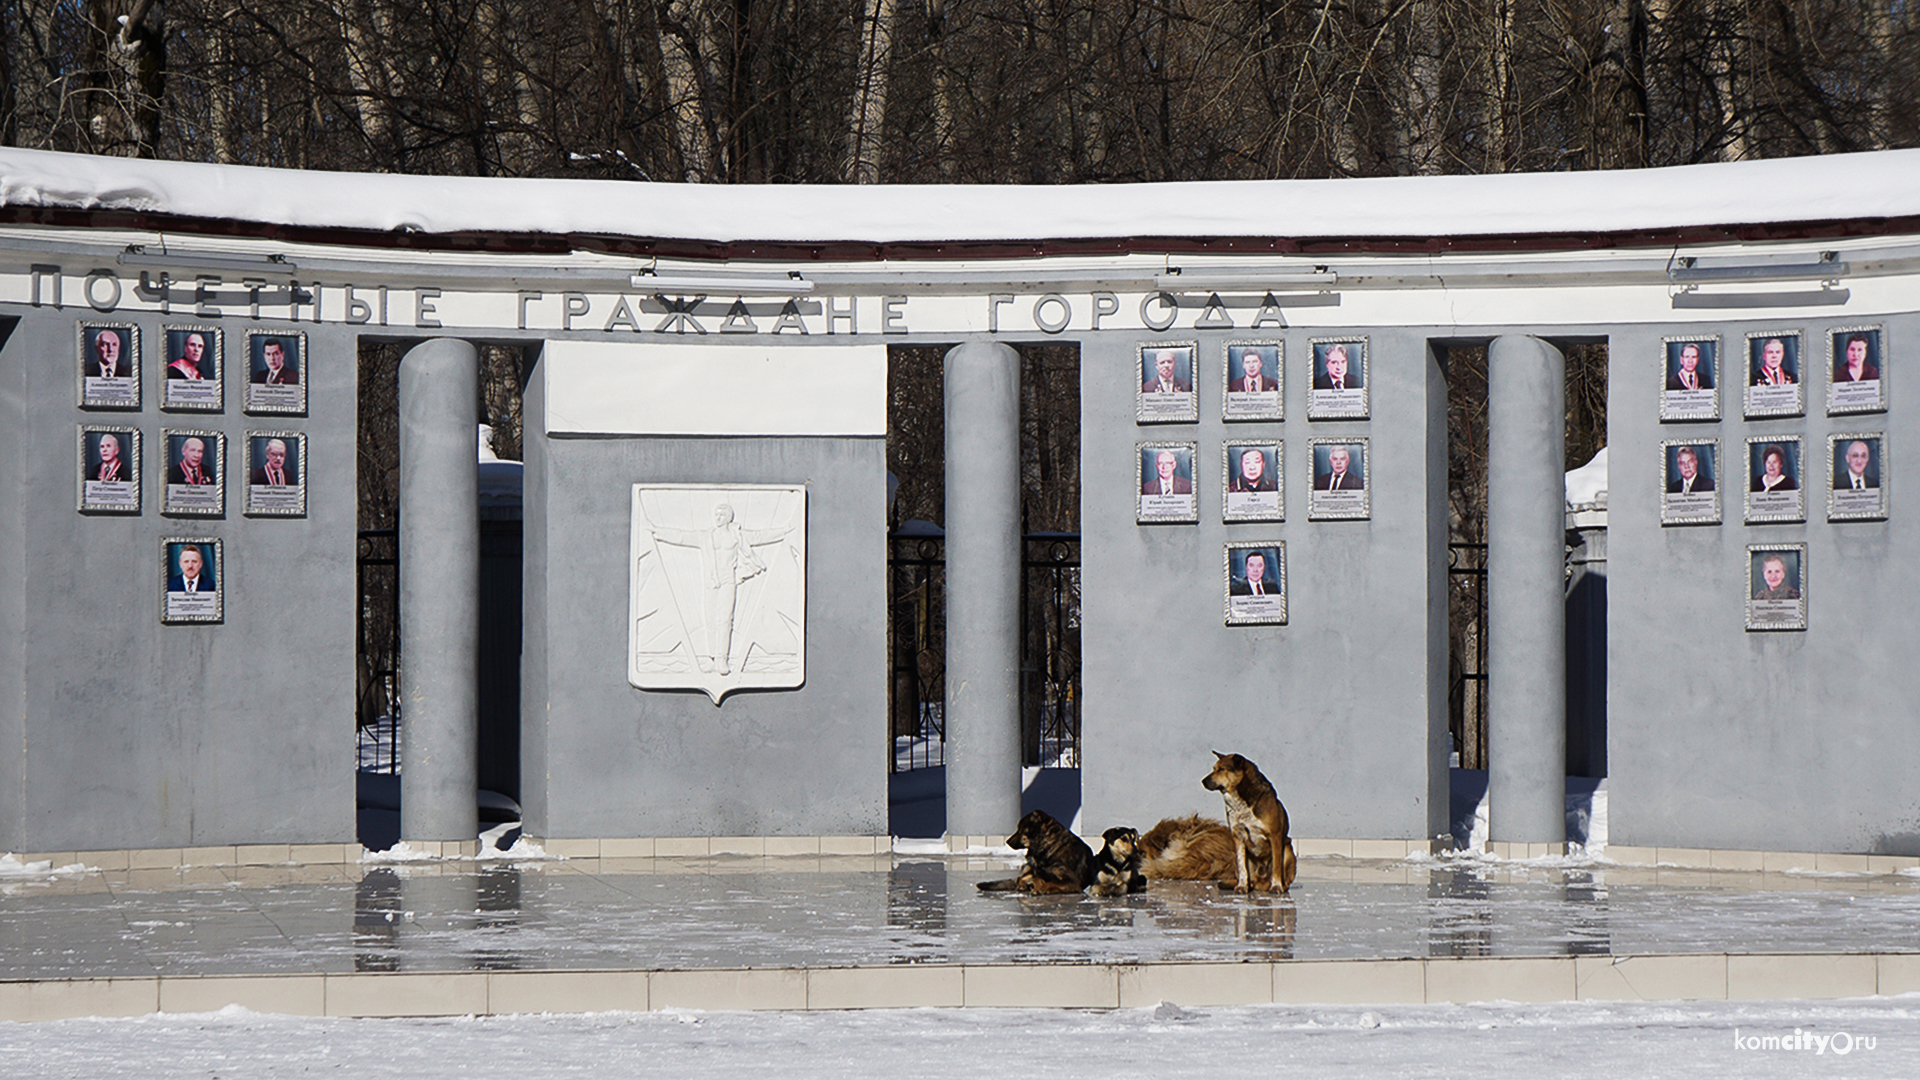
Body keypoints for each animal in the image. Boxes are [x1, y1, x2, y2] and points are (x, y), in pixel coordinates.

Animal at [1198, 749, 1305, 891]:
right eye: (1214, 769)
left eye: (1222, 769)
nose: (1203, 781)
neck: (1240, 801)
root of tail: (1261, 883)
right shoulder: (1238, 836)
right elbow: (1242, 867)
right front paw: (1242, 886)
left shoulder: (1275, 835)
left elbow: (1277, 866)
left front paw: (1276, 886)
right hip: (1235, 855)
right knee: (1249, 877)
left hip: (1287, 849)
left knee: (1283, 877)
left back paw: (1279, 886)